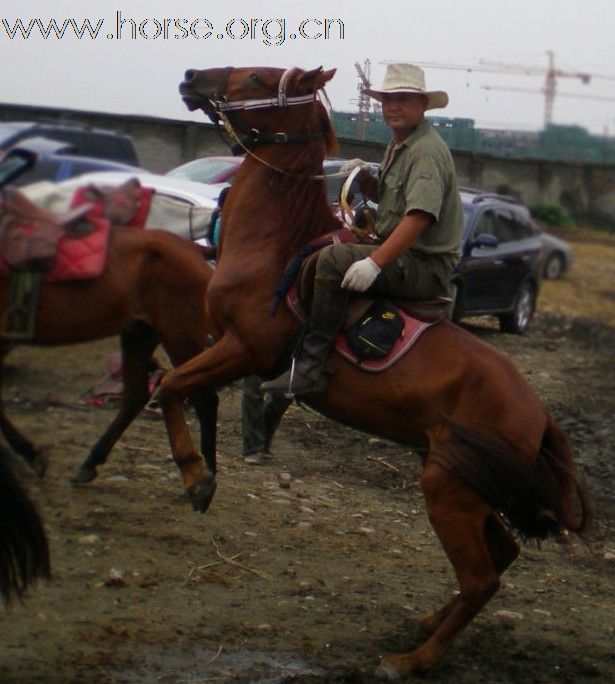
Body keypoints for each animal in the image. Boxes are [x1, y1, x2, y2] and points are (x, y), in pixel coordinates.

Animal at [156, 67, 588, 676]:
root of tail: (539, 413)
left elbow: (169, 385)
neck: (272, 246)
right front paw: (203, 477)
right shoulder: (220, 347)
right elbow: (181, 391)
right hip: (468, 485)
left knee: (483, 577)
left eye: (260, 77)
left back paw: (412, 660)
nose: (194, 78)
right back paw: (428, 623)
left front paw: (196, 477)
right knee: (501, 555)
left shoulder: (243, 350)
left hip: (448, 488)